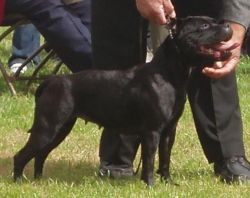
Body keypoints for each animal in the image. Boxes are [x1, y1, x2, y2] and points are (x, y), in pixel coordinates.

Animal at [13, 16, 236, 185]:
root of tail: (51, 81)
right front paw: (150, 185)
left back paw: (39, 180)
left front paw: (167, 182)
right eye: (204, 26)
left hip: (60, 129)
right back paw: (19, 181)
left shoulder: (168, 131)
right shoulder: (152, 132)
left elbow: (165, 159)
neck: (169, 73)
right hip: (47, 127)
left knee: (41, 154)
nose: (227, 26)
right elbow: (149, 160)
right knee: (23, 155)